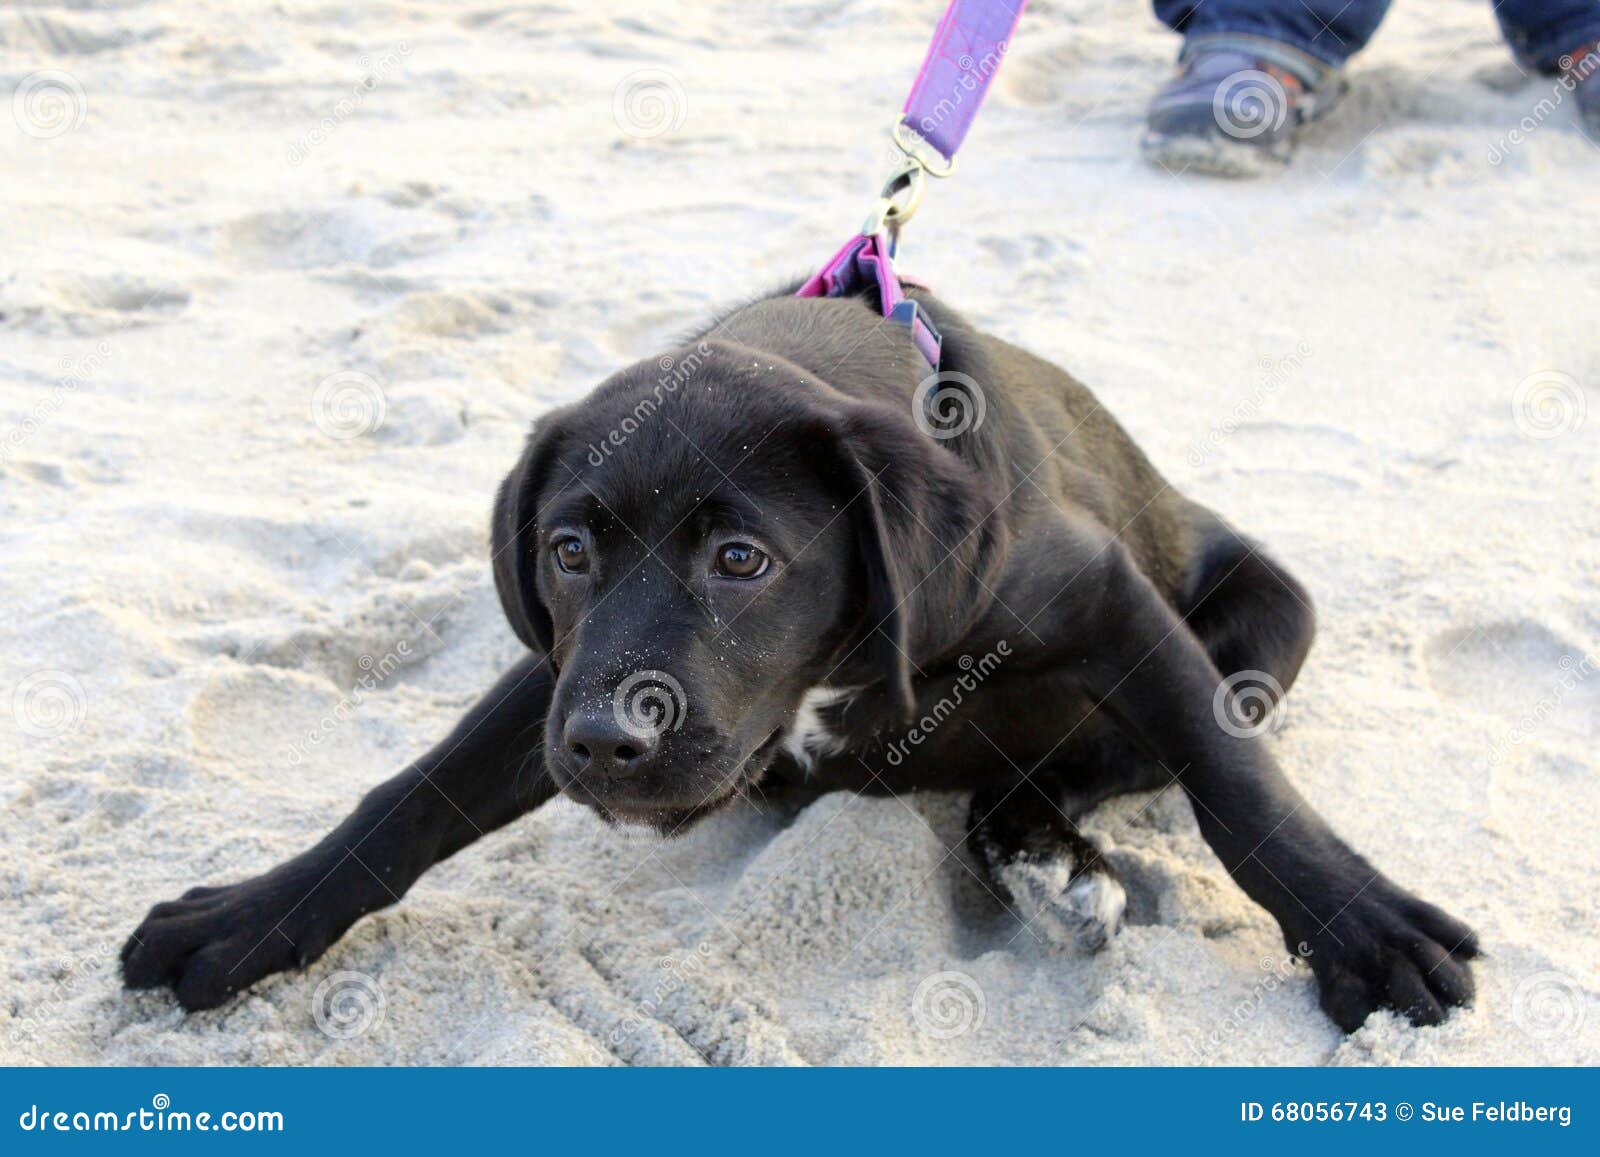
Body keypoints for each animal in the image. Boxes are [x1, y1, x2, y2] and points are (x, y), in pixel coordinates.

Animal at [121, 288, 1472, 1030]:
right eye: (567, 548)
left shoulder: (1101, 592)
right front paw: (253, 915)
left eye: (741, 559)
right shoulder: (558, 672)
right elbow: (413, 792)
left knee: (1094, 761)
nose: (604, 745)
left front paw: (1361, 928)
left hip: (1267, 610)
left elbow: (1237, 782)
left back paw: (1044, 852)